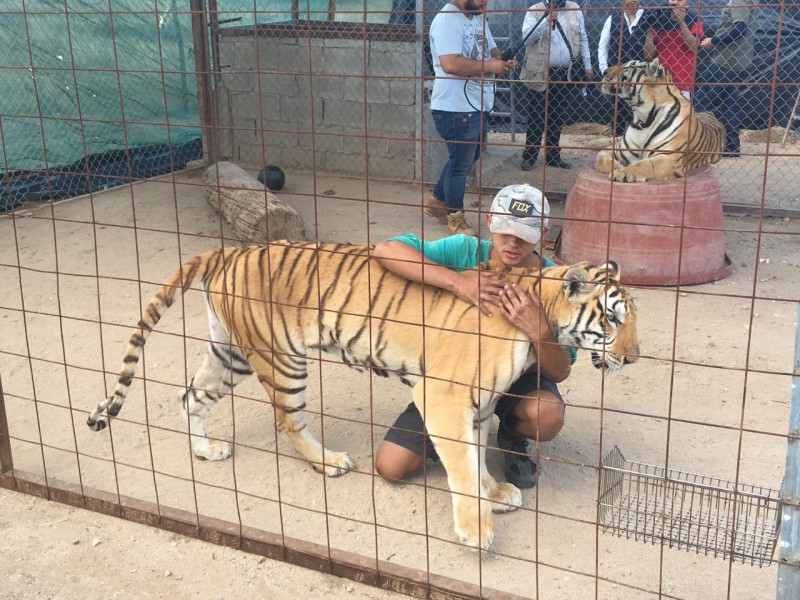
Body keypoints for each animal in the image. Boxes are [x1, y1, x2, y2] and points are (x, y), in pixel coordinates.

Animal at [86, 241, 636, 552]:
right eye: (612, 319)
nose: (632, 358)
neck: (538, 308)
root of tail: (230, 252)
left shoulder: (477, 406)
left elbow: (477, 457)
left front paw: (494, 492)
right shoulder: (444, 396)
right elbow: (461, 466)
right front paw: (475, 530)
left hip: (231, 353)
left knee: (190, 398)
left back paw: (207, 450)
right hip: (280, 359)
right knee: (287, 420)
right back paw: (328, 462)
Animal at [592, 60, 724, 185]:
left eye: (630, 66)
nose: (604, 72)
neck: (643, 118)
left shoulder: (668, 157)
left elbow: (643, 165)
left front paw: (621, 173)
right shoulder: (620, 149)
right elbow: (600, 157)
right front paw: (617, 166)